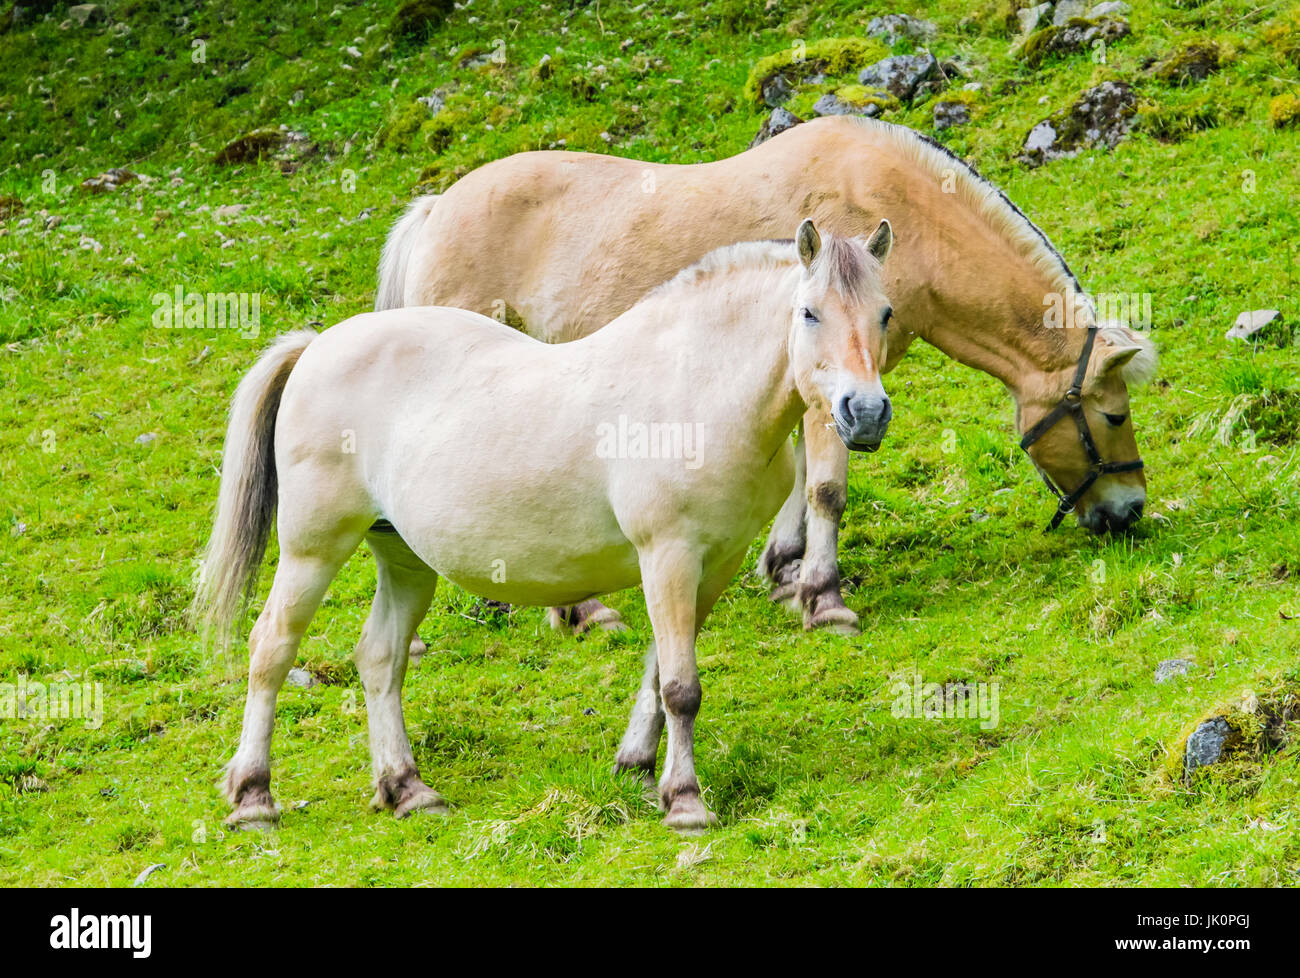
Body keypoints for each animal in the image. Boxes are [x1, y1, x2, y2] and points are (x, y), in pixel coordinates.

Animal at [197, 221, 899, 832]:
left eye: (885, 313)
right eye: (809, 313)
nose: (864, 413)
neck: (693, 389)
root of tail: (318, 345)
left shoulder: (711, 566)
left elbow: (658, 673)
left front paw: (639, 766)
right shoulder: (668, 557)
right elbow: (680, 686)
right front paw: (685, 801)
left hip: (405, 560)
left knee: (380, 658)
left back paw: (408, 789)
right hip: (312, 552)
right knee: (271, 648)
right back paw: (254, 797)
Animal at [379, 114, 1159, 637]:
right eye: (1114, 416)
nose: (1129, 513)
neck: (895, 209)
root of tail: (433, 211)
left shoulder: (832, 392)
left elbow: (800, 478)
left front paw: (784, 569)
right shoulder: (831, 391)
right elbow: (826, 486)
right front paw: (823, 595)